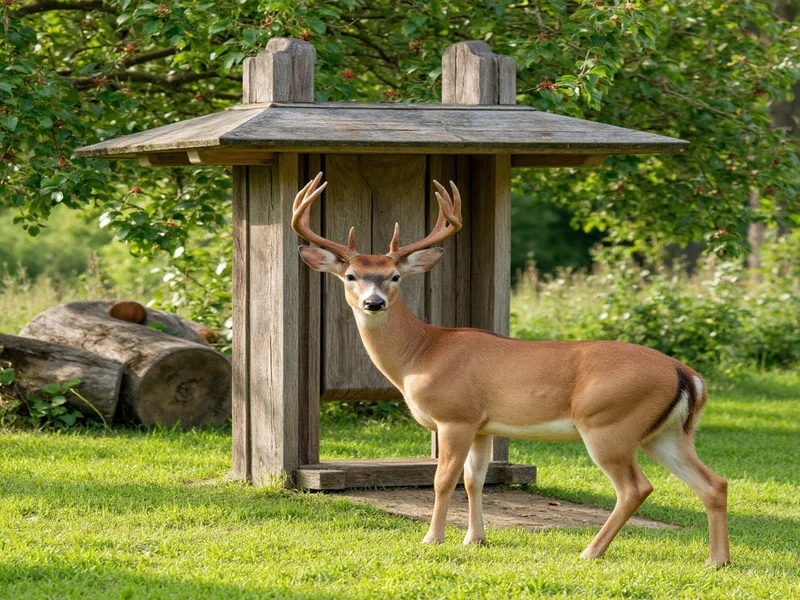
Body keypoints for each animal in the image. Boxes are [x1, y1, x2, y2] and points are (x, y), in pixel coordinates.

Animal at [291, 172, 731, 567]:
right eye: (351, 275)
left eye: (395, 276)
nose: (374, 302)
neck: (420, 354)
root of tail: (687, 375)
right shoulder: (483, 425)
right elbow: (474, 479)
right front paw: (475, 538)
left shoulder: (455, 415)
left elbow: (443, 480)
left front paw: (432, 538)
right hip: (667, 433)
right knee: (714, 483)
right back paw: (716, 560)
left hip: (610, 424)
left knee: (636, 488)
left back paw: (591, 551)